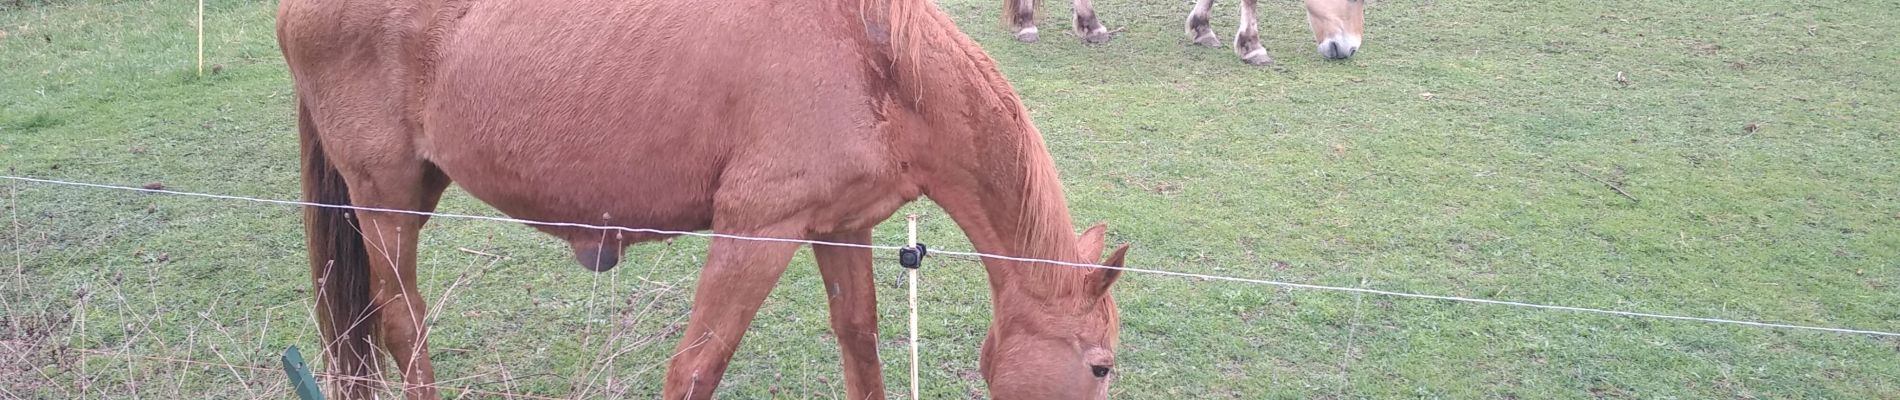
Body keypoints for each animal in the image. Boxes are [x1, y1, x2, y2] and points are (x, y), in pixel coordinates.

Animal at [271, 0, 1124, 400]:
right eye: (1102, 366)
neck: (878, 62)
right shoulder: (756, 234)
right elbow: (695, 368)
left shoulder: (840, 228)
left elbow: (861, 348)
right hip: (385, 203)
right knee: (402, 322)